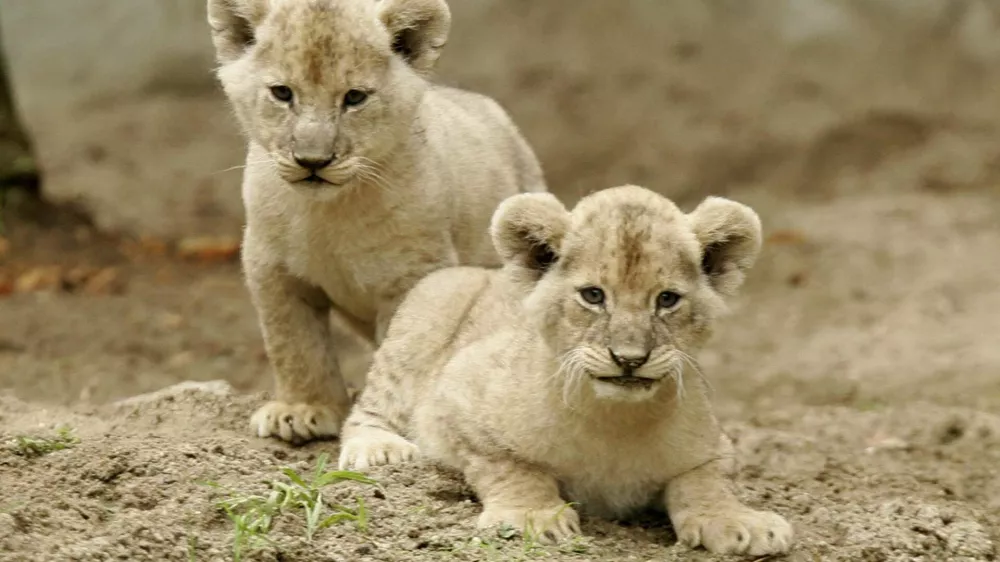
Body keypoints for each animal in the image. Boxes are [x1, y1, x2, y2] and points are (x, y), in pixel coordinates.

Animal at [206, 0, 547, 443]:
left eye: (354, 98)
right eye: (282, 93)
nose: (313, 161)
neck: (328, 213)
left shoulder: (413, 274)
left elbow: (403, 349)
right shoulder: (272, 269)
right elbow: (294, 344)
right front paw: (303, 409)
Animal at [338, 185, 794, 556]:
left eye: (667, 299)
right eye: (593, 296)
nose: (630, 358)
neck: (617, 421)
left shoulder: (715, 446)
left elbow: (708, 481)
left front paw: (739, 521)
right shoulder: (456, 399)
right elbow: (510, 466)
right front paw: (532, 518)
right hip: (427, 314)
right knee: (369, 408)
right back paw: (380, 450)